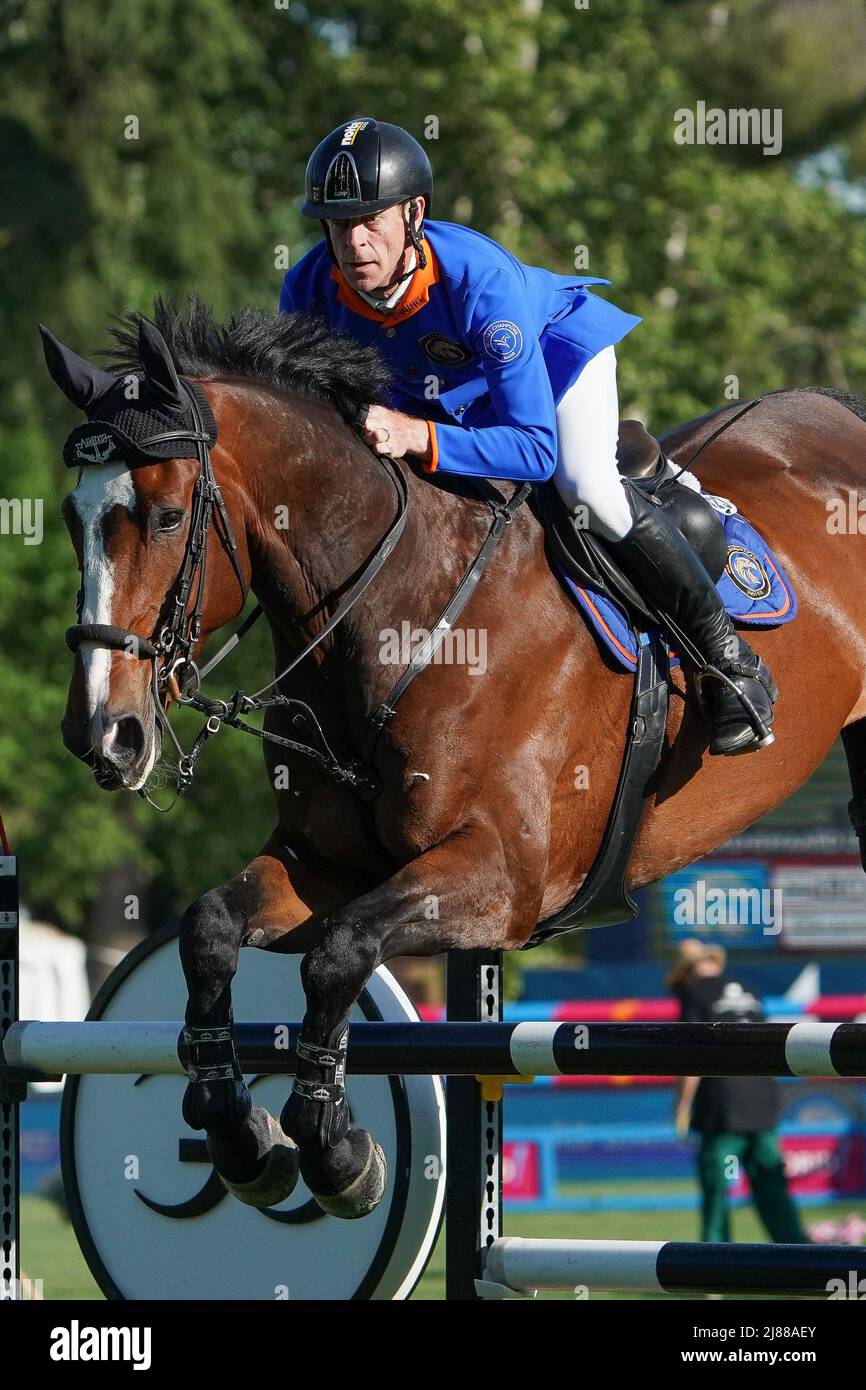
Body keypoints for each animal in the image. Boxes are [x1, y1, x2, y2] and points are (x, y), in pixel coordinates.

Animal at [44, 301, 866, 1217]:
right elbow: (211, 929)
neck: (402, 612)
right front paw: (239, 1135)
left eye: (164, 516)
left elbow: (341, 954)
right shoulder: (328, 866)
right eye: (73, 518)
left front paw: (334, 1149)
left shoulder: (501, 877)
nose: (102, 732)